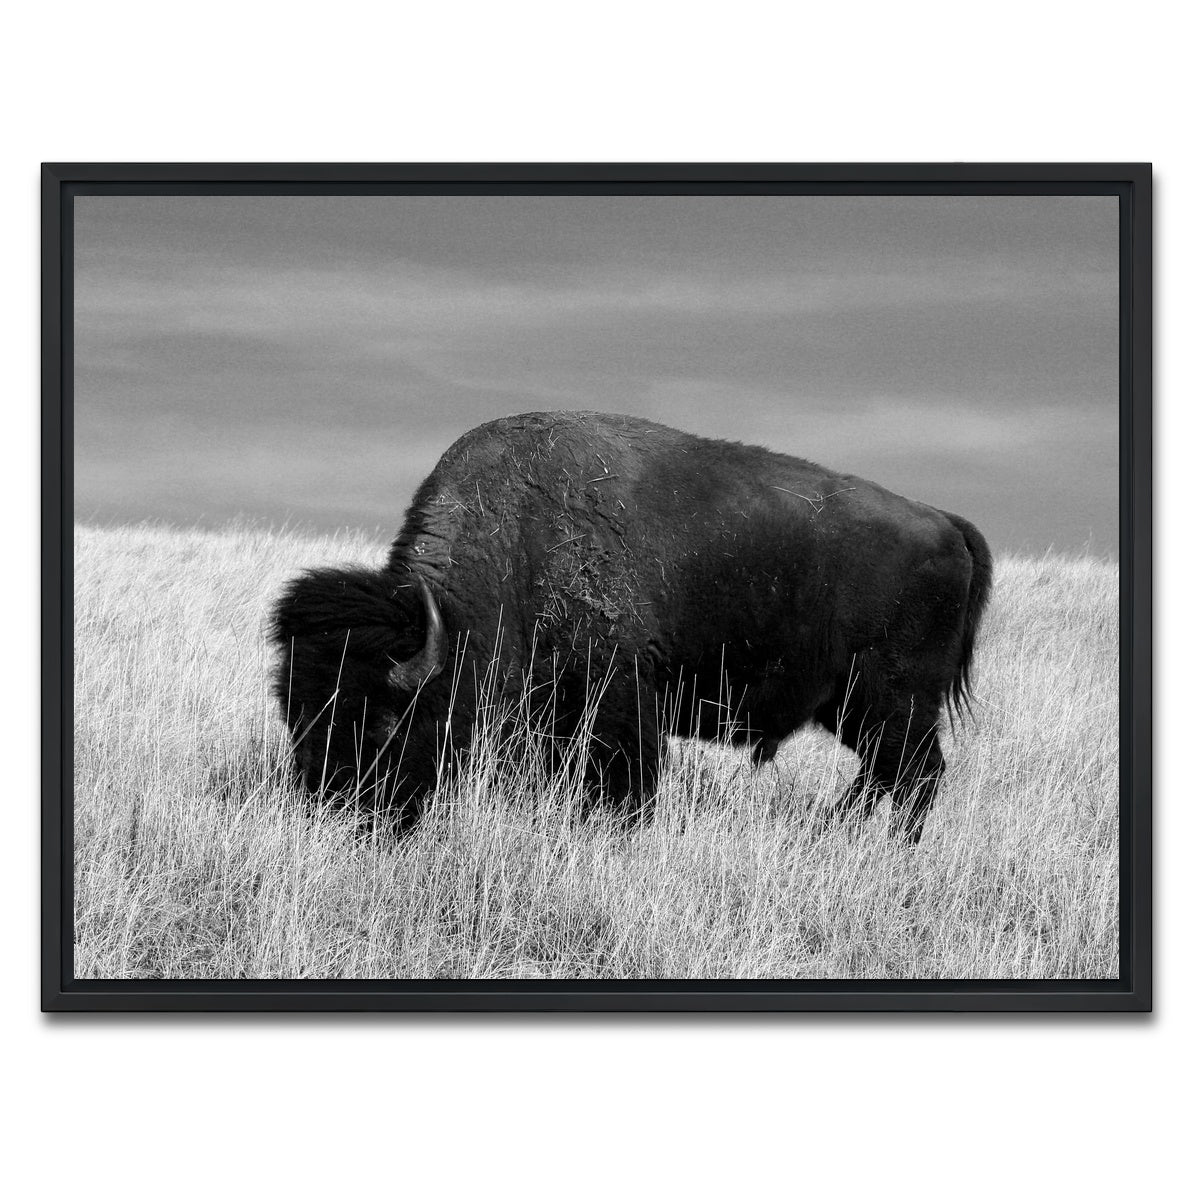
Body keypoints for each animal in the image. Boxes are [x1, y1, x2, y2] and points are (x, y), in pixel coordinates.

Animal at [271, 411, 991, 842]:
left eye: (383, 718)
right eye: (296, 712)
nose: (332, 809)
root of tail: (945, 522)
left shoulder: (619, 699)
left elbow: (626, 781)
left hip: (893, 700)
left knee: (914, 774)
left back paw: (886, 845)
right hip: (852, 707)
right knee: (884, 773)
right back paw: (839, 831)